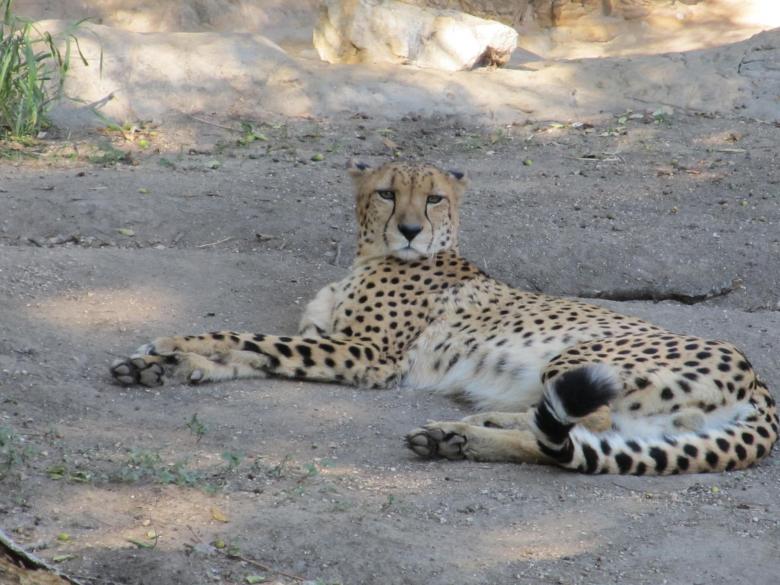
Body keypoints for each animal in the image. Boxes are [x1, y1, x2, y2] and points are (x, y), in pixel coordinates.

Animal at [110, 160, 778, 475]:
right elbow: (248, 352)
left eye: (433, 198)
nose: (409, 228)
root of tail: (757, 379)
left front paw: (169, 345)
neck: (374, 254)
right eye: (386, 193)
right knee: (579, 433)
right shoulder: (327, 340)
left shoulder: (367, 357)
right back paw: (462, 430)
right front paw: (167, 366)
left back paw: (458, 437)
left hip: (580, 356)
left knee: (583, 430)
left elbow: (246, 338)